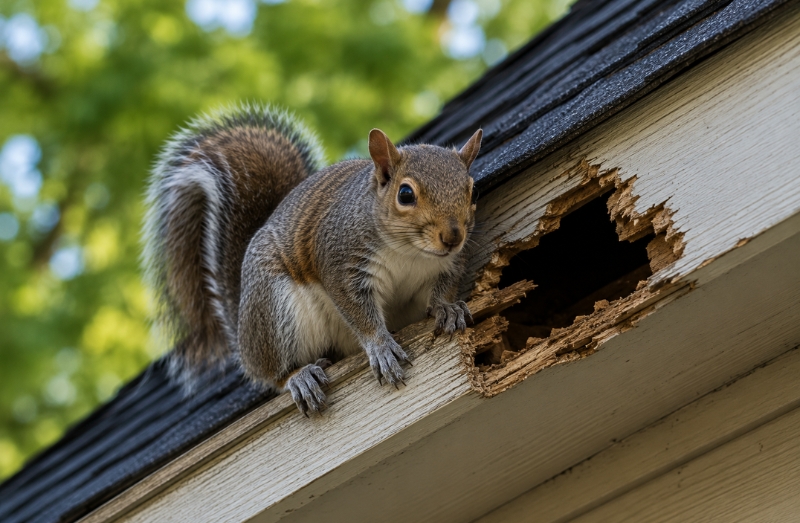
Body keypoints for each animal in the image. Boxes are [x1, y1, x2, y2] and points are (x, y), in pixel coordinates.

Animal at [143, 104, 482, 415]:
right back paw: (298, 377)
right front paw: (382, 348)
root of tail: (243, 338)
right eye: (406, 194)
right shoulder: (340, 262)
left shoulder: (449, 263)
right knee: (273, 374)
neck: (410, 252)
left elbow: (442, 289)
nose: (452, 237)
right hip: (274, 310)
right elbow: (358, 313)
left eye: (471, 189)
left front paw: (447, 308)